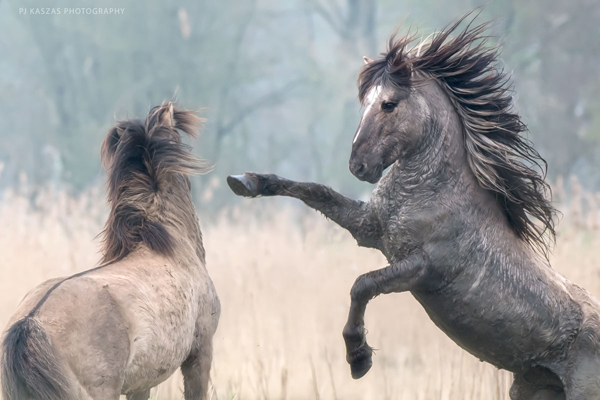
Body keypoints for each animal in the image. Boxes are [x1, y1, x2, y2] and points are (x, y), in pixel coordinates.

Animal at [226, 15, 600, 400]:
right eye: (364, 101)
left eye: (389, 104)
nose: (359, 166)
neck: (432, 191)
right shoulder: (369, 227)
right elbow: (315, 191)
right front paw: (247, 181)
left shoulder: (423, 267)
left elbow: (363, 284)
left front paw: (358, 358)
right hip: (532, 389)